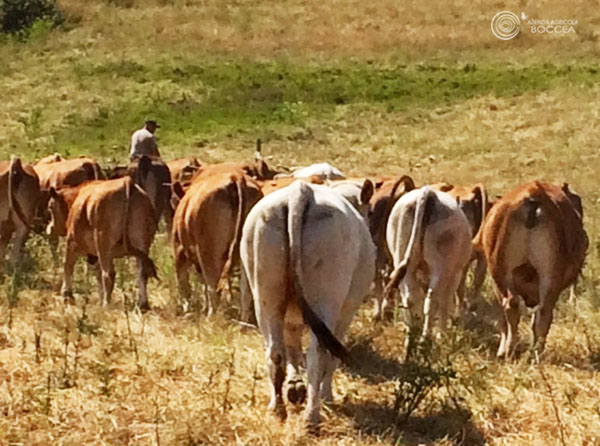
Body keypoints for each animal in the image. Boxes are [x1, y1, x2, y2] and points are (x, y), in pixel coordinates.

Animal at [62, 157, 158, 310]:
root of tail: (127, 183)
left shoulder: (72, 242)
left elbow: (67, 265)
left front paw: (67, 296)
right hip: (141, 242)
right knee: (142, 271)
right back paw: (143, 304)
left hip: (103, 242)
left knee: (109, 274)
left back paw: (106, 304)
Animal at [170, 169, 262, 318]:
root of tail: (235, 176)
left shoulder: (179, 249)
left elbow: (184, 283)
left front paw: (187, 310)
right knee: (246, 291)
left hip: (209, 252)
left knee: (213, 285)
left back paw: (211, 316)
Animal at [240, 179, 376, 430]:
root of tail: (301, 191)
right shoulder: (345, 314)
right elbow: (330, 358)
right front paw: (326, 396)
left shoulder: (290, 319)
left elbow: (293, 349)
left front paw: (295, 386)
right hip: (326, 300)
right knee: (318, 354)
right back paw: (312, 416)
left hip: (266, 297)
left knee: (276, 352)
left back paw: (278, 408)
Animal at [384, 187, 474, 338]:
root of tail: (428, 192)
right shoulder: (454, 275)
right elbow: (445, 301)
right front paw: (442, 333)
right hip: (441, 266)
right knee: (432, 300)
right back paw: (426, 336)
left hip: (402, 259)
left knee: (410, 296)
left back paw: (412, 330)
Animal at [480, 181, 588, 358]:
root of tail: (533, 193)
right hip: (546, 280)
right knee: (541, 314)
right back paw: (533, 352)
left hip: (501, 274)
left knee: (513, 306)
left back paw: (512, 351)